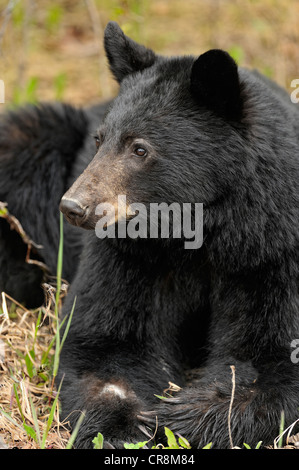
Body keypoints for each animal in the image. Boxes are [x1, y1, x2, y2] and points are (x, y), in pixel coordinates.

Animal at [0, 22, 299, 448]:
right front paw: (126, 423)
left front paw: (179, 416)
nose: (73, 206)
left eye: (140, 149)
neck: (194, 227)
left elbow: (270, 357)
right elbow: (105, 341)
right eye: (99, 140)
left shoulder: (268, 249)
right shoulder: (130, 254)